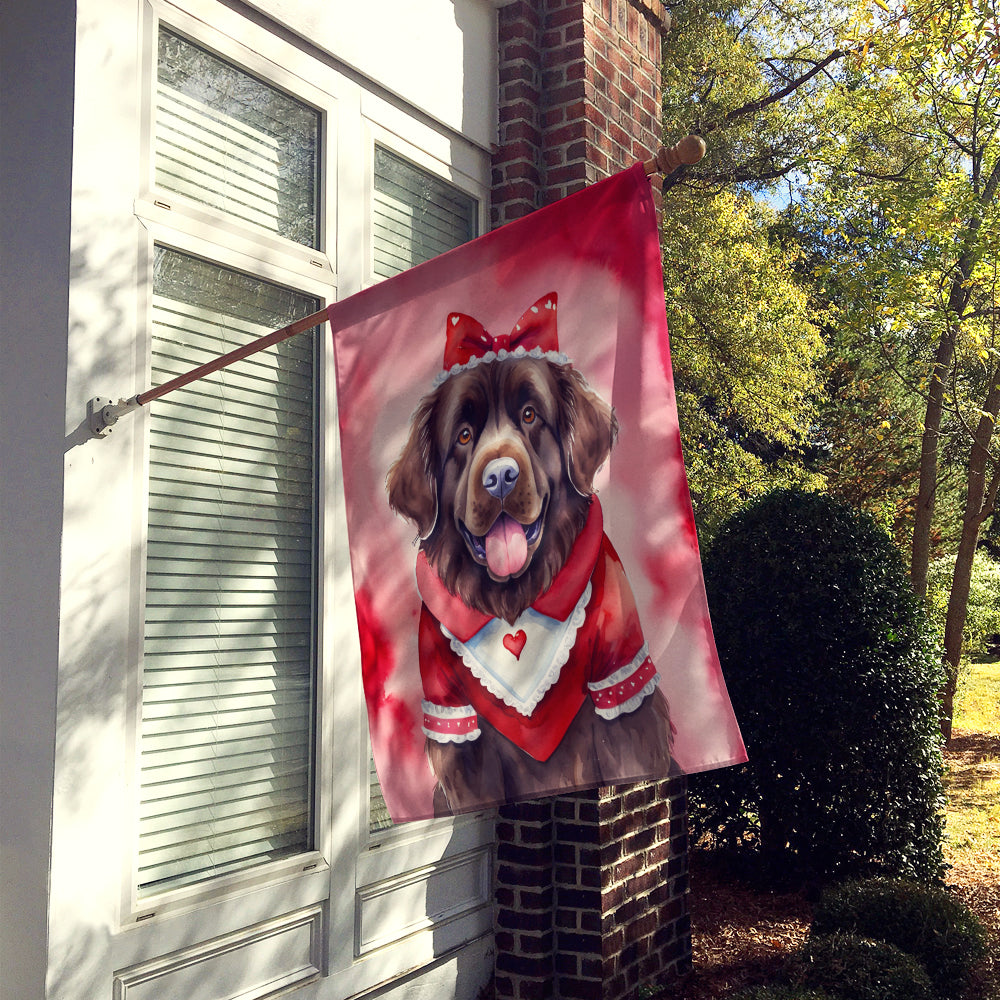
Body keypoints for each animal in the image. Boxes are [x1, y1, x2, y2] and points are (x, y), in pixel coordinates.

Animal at [386, 292, 668, 816]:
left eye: (531, 416)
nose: (499, 477)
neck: (513, 600)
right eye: (463, 435)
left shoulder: (620, 679)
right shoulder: (454, 719)